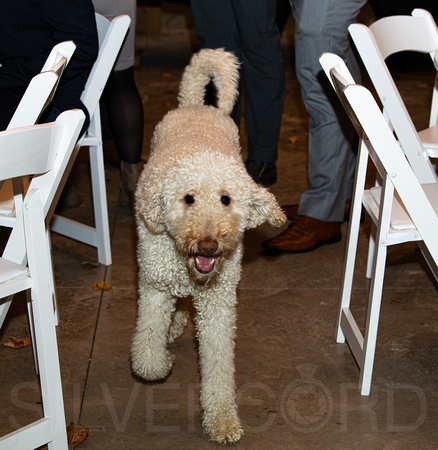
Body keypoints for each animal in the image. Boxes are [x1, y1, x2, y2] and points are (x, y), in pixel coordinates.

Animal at [132, 48, 286, 442]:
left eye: (226, 199)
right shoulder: (154, 287)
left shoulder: (218, 303)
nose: (208, 244)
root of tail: (196, 106)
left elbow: (218, 365)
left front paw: (221, 419)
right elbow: (148, 358)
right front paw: (163, 361)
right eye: (188, 198)